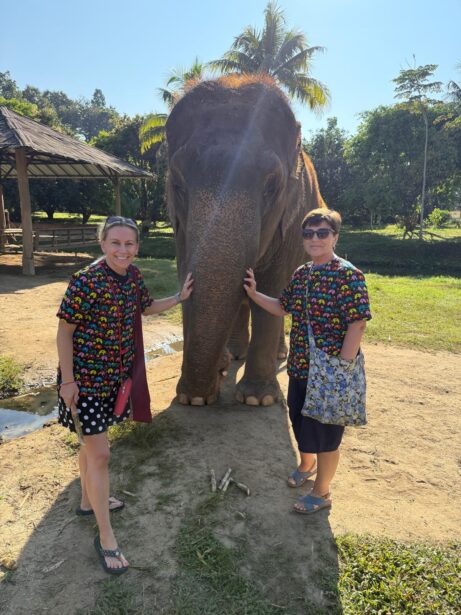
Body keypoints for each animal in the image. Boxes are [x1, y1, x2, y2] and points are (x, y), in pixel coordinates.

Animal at [166, 75, 325, 406]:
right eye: (177, 183)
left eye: (272, 185)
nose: (219, 370)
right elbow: (187, 273)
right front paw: (193, 396)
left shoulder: (290, 223)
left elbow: (270, 291)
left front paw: (256, 399)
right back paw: (237, 352)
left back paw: (277, 355)